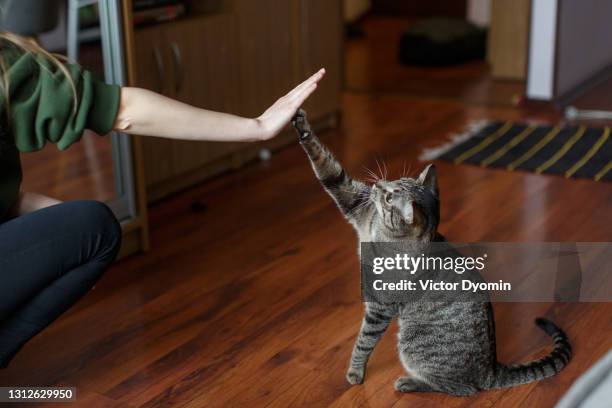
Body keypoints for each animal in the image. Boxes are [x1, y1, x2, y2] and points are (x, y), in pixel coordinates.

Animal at [290, 108, 572, 396]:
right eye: (394, 181)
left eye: (390, 197)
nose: (378, 185)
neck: (379, 233)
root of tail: (492, 370)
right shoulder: (354, 199)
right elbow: (326, 164)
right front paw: (300, 122)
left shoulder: (380, 308)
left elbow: (363, 342)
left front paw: (355, 372)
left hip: (413, 343)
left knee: (462, 388)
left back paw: (409, 382)